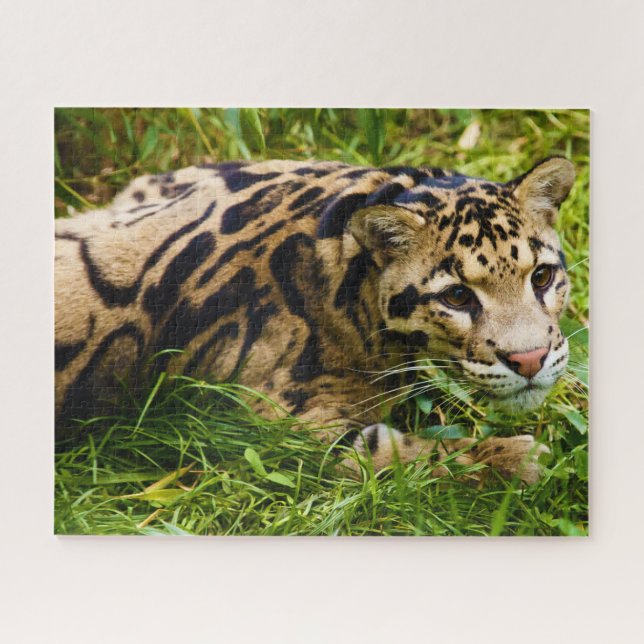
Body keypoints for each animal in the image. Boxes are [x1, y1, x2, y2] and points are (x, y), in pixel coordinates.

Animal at [55, 156, 575, 484]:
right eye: (458, 296)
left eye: (542, 277)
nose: (530, 359)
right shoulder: (274, 423)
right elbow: (403, 456)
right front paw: (513, 460)